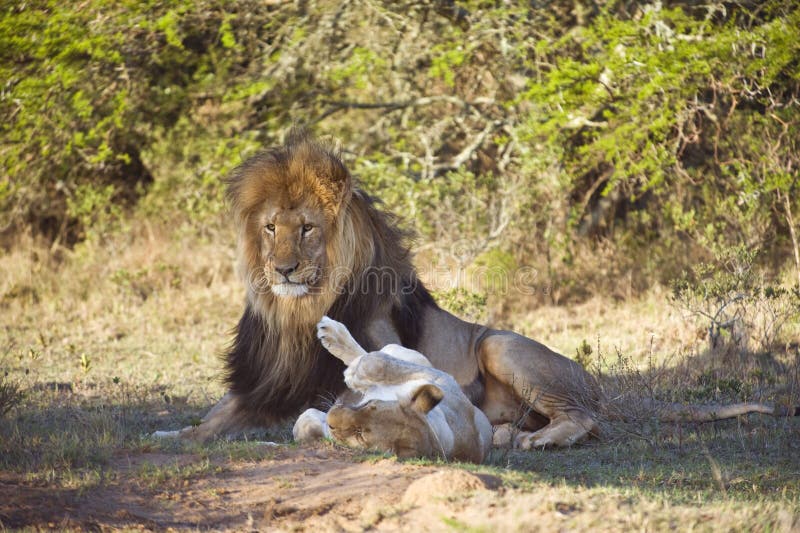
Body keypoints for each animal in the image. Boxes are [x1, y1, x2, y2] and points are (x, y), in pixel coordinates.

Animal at [177, 131, 800, 446]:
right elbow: (213, 416)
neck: (294, 314)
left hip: (502, 345)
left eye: (307, 228)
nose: (282, 269)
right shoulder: (261, 385)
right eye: (269, 228)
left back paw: (540, 439)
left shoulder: (326, 385)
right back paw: (508, 434)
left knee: (584, 418)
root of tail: (601, 389)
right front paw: (177, 430)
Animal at [294, 316, 494, 462]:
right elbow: (376, 362)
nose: (332, 415)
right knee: (377, 355)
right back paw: (333, 334)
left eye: (361, 436)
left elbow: (309, 427)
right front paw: (354, 373)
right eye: (370, 404)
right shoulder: (441, 379)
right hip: (414, 358)